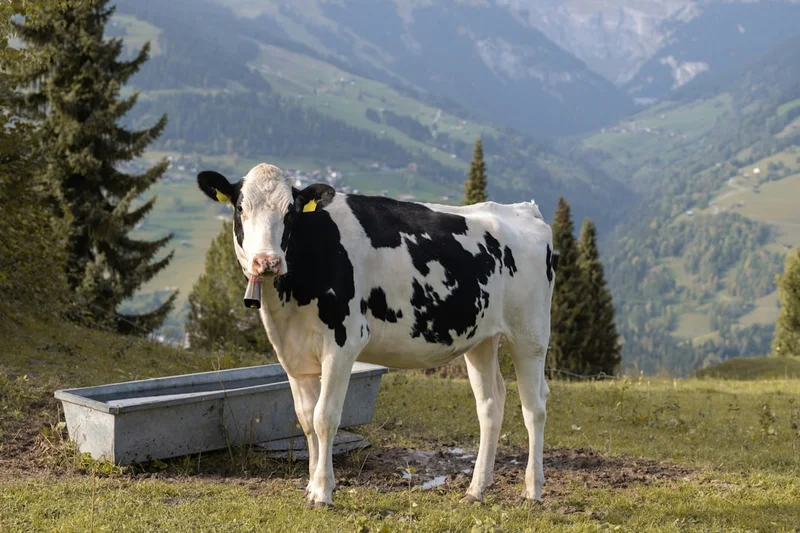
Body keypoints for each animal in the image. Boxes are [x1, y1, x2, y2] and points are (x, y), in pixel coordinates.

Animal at [196, 163, 555, 508]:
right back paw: (476, 489)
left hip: (530, 335)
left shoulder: (343, 342)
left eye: (291, 213)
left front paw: (323, 492)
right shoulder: (293, 354)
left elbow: (325, 417)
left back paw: (532, 490)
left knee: (534, 407)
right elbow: (305, 420)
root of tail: (524, 210)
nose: (267, 261)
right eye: (240, 207)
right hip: (480, 338)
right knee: (490, 406)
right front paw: (311, 485)